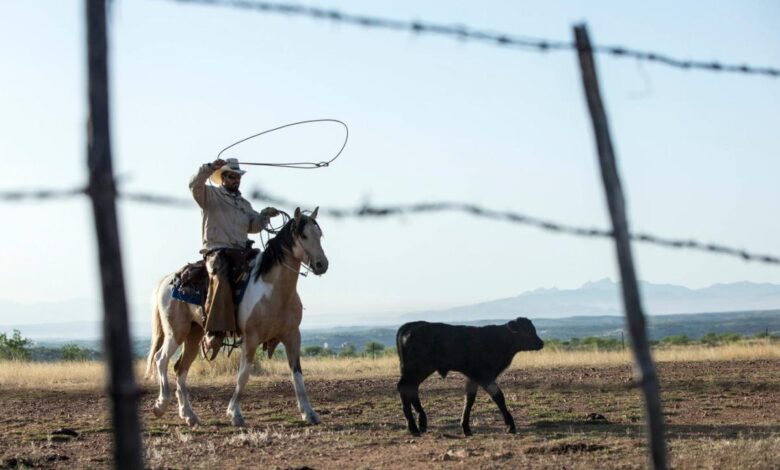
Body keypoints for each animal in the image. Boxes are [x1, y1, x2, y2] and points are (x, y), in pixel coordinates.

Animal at [147, 207, 330, 428]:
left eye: (319, 234)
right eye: (303, 235)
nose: (322, 264)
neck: (273, 289)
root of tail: (167, 280)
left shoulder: (292, 336)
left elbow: (297, 375)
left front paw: (309, 413)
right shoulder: (251, 338)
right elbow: (243, 375)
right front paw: (235, 413)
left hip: (194, 334)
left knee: (180, 369)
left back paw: (189, 414)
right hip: (176, 332)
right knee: (161, 359)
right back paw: (160, 406)